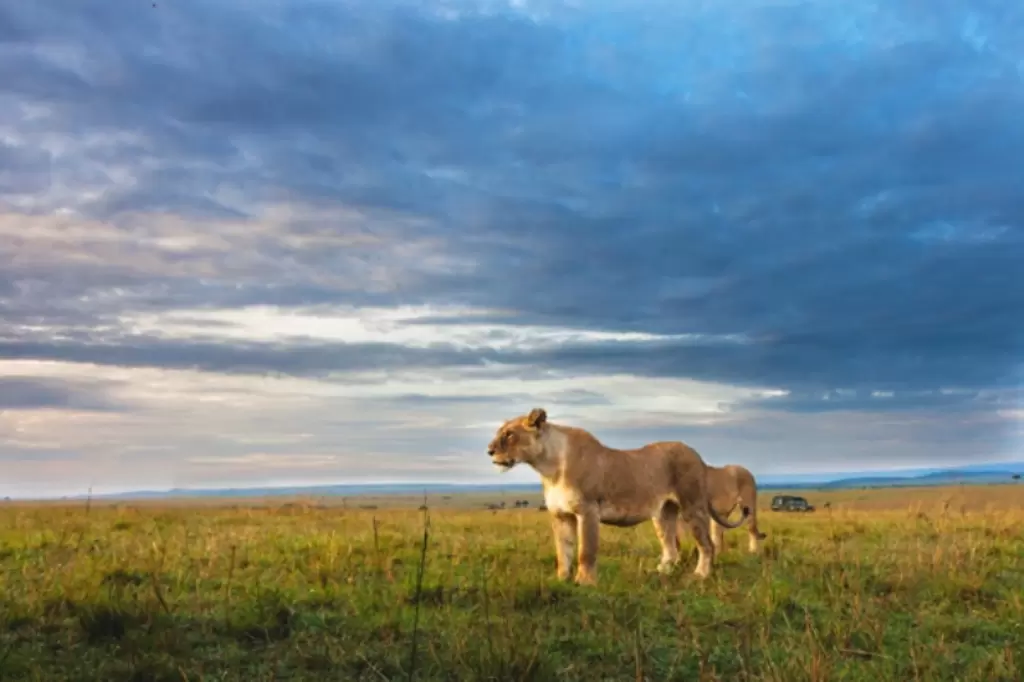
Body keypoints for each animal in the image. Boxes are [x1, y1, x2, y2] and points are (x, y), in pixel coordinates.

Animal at [486, 408, 749, 585]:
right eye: (500, 433)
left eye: (509, 434)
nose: (489, 450)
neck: (548, 468)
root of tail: (697, 455)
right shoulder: (560, 515)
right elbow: (564, 551)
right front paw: (561, 580)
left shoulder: (587, 510)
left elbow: (585, 551)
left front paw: (584, 582)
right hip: (663, 514)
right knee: (671, 548)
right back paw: (661, 573)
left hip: (692, 506)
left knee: (707, 544)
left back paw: (700, 575)